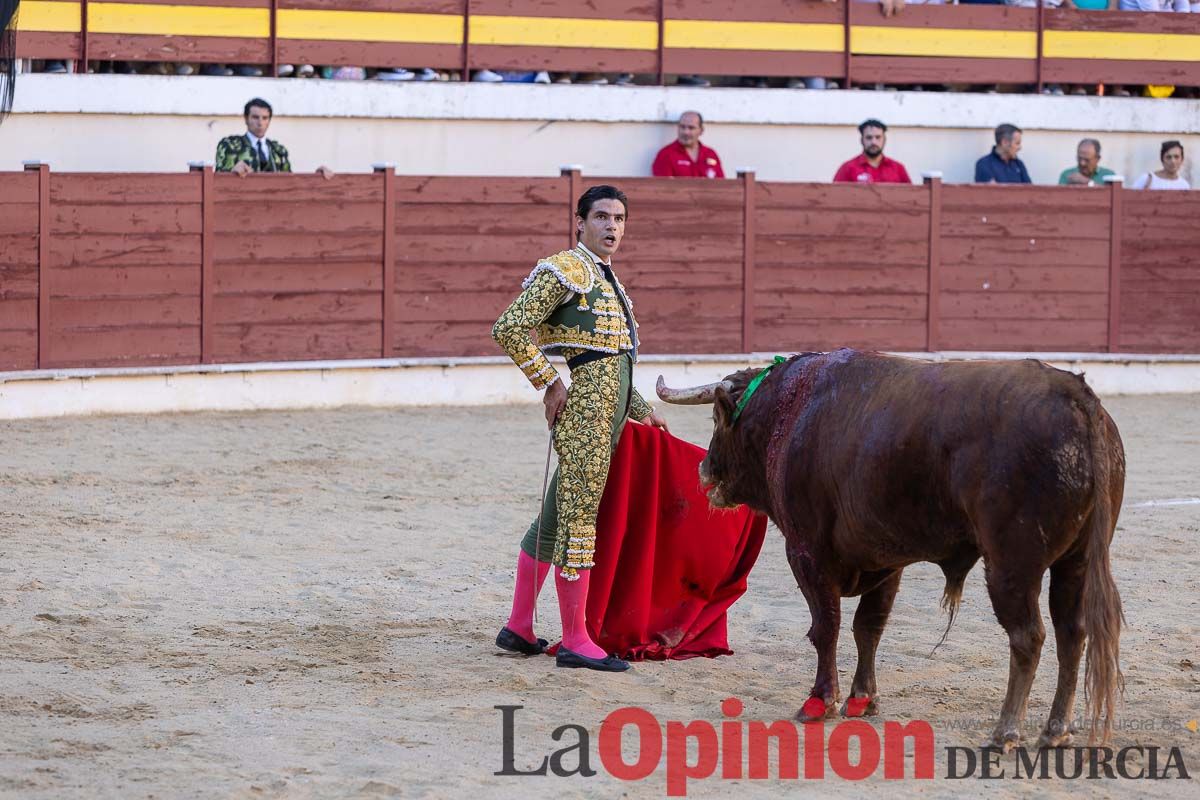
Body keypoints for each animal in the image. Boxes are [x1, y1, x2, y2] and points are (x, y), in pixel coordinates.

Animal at [657, 350, 1123, 753]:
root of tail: (1079, 398)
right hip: (1076, 561)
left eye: (716, 418)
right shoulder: (886, 560)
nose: (704, 470)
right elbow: (868, 627)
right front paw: (862, 699)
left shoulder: (805, 552)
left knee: (1028, 636)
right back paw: (1056, 730)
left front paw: (820, 701)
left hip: (1011, 565)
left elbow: (826, 626)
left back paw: (1005, 732)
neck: (785, 412)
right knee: (1072, 632)